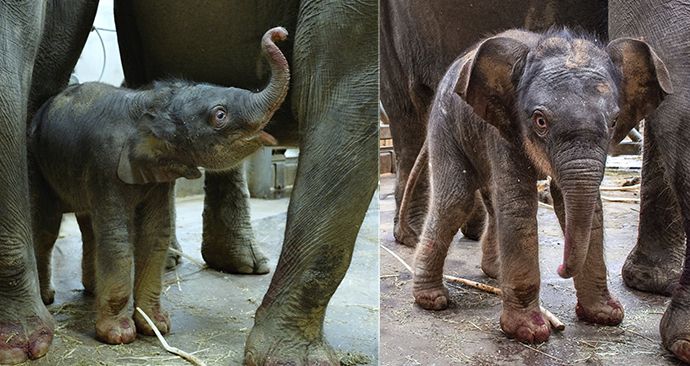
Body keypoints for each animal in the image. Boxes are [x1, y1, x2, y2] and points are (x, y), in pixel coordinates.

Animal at [26, 27, 288, 344]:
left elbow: (154, 234)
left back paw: (92, 290)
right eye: (219, 115)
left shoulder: (157, 174)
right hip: (36, 160)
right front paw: (119, 334)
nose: (280, 33)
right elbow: (117, 240)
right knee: (47, 227)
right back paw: (47, 297)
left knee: (88, 227)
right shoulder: (106, 167)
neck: (150, 103)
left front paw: (156, 326)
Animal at [406, 27, 668, 344]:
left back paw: (494, 273)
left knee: (489, 199)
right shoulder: (503, 126)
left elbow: (582, 207)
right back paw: (432, 300)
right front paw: (528, 331)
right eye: (540, 121)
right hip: (445, 125)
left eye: (615, 121)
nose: (561, 268)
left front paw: (605, 316)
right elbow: (519, 205)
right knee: (455, 201)